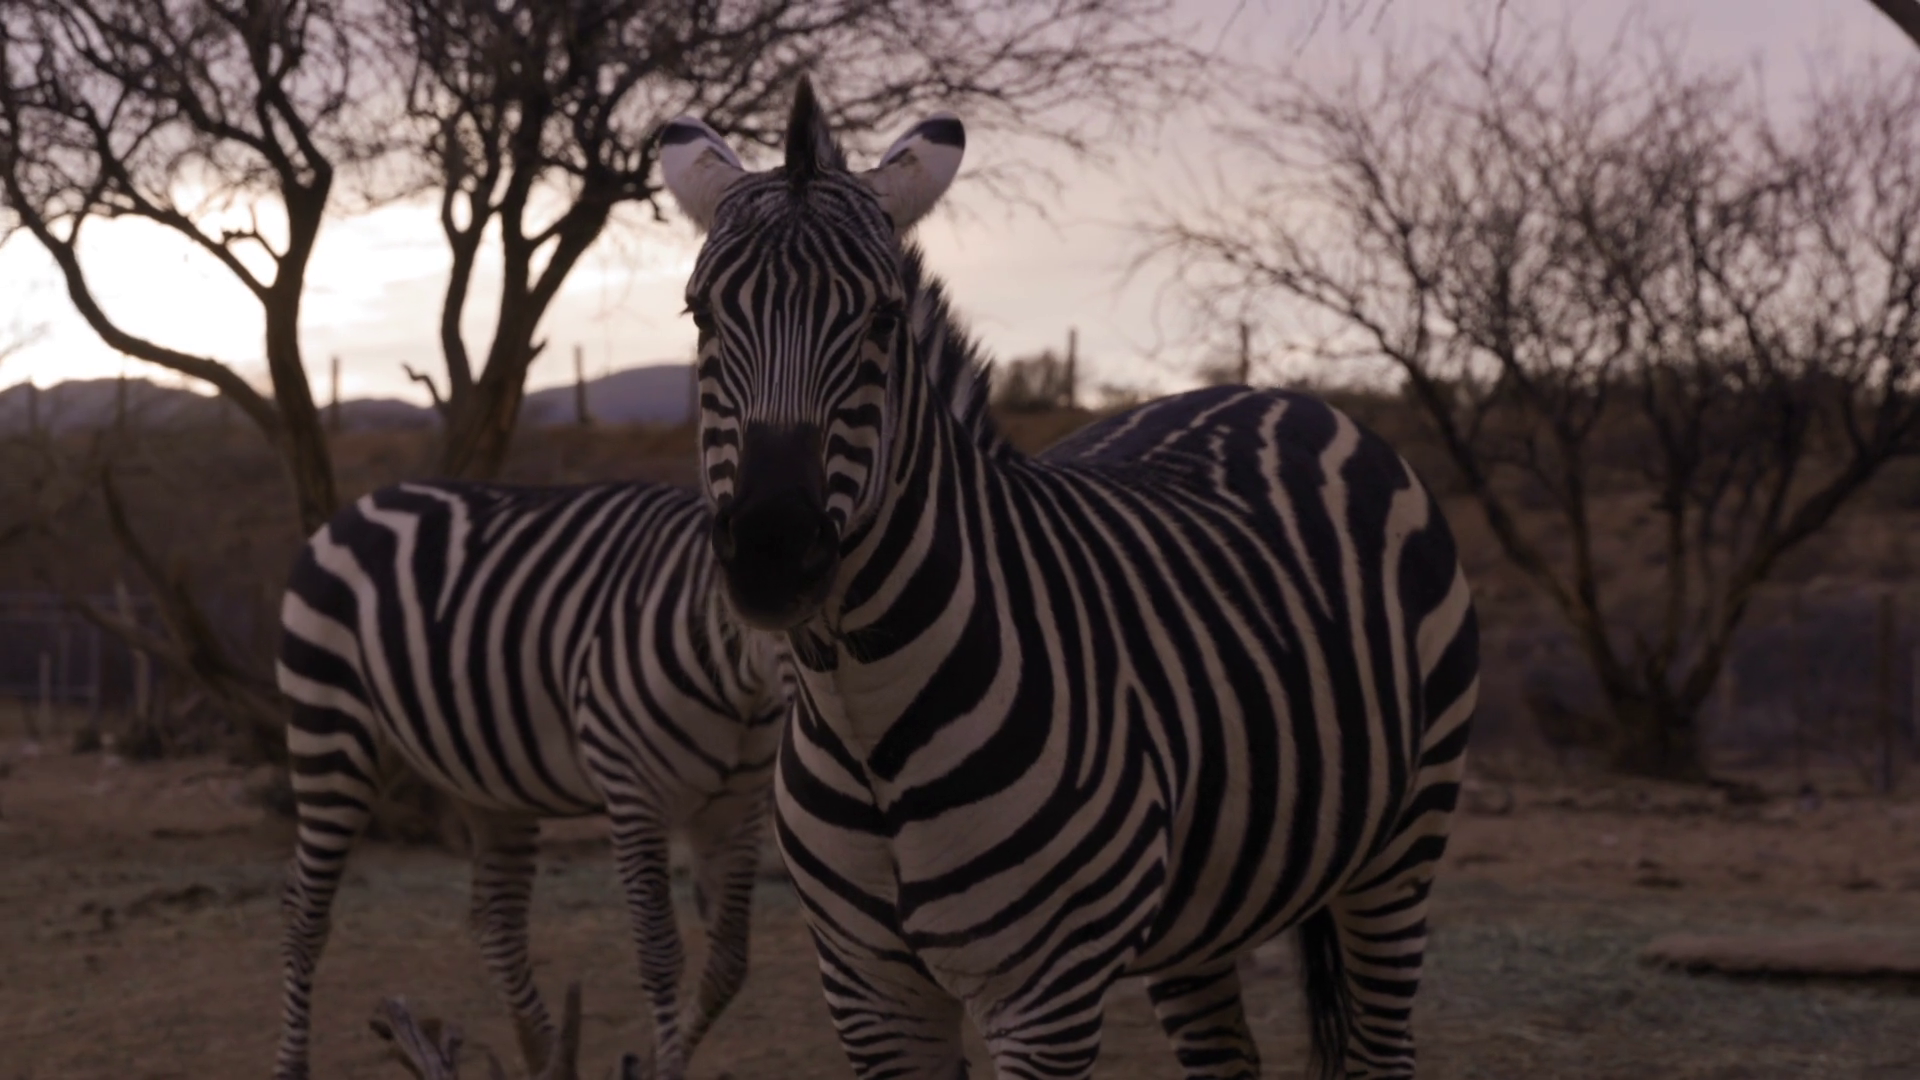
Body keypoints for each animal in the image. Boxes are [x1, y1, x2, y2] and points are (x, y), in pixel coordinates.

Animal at [272, 479, 789, 1080]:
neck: (738, 689)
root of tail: (360, 504)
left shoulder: (738, 806)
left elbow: (729, 960)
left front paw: (653, 1056)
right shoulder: (632, 792)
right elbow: (659, 951)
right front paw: (662, 1065)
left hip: (486, 777)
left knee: (496, 919)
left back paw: (546, 1053)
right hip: (329, 728)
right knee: (304, 910)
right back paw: (291, 1064)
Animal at [655, 78, 1480, 1080]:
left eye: (884, 320)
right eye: (699, 315)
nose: (774, 551)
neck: (864, 719)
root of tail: (1277, 396)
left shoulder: (1044, 998)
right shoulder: (868, 995)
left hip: (1402, 846)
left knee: (1381, 1041)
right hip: (1205, 908)